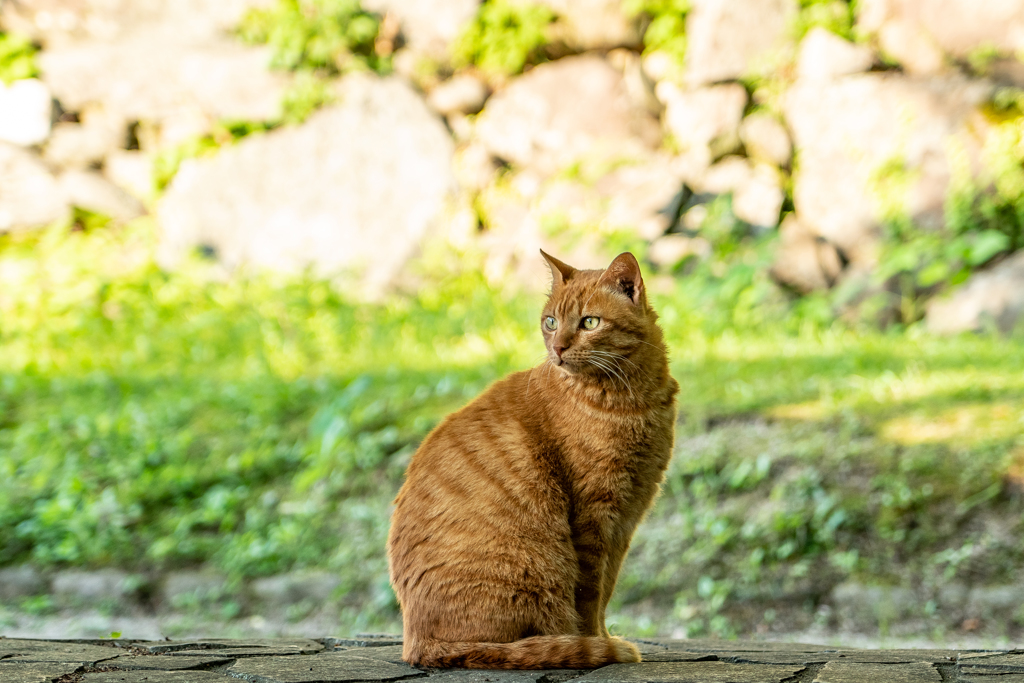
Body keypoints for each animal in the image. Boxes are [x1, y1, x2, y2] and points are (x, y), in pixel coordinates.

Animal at [387, 249, 675, 667]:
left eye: (589, 322)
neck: (633, 399)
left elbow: (607, 590)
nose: (558, 348)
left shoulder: (627, 516)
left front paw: (604, 636)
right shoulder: (594, 516)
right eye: (551, 322)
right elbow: (591, 595)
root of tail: (416, 643)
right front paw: (597, 642)